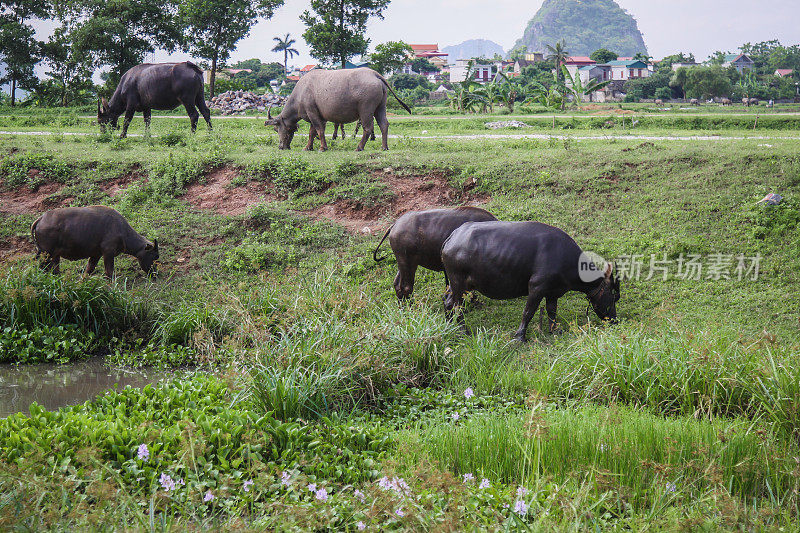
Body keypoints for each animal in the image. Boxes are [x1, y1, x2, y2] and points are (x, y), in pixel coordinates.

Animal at [31, 205, 159, 278]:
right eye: (154, 256)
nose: (155, 274)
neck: (121, 230)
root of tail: (41, 219)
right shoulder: (108, 253)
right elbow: (109, 272)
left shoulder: (96, 255)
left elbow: (89, 270)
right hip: (46, 254)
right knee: (43, 267)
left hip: (54, 255)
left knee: (54, 269)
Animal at [266, 66, 412, 151]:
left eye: (276, 129)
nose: (281, 146)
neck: (300, 94)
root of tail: (375, 74)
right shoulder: (315, 115)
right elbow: (312, 132)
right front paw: (308, 147)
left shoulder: (313, 114)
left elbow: (319, 130)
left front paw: (322, 147)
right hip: (380, 107)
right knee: (384, 124)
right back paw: (384, 147)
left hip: (366, 109)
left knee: (368, 128)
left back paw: (359, 147)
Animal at [440, 220, 620, 340]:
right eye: (614, 295)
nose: (614, 320)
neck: (564, 258)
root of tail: (452, 237)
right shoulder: (536, 287)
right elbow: (528, 312)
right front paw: (520, 336)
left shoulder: (553, 292)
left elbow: (552, 311)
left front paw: (555, 330)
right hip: (459, 283)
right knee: (456, 305)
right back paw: (463, 331)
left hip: (460, 285)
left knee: (448, 301)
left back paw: (449, 326)